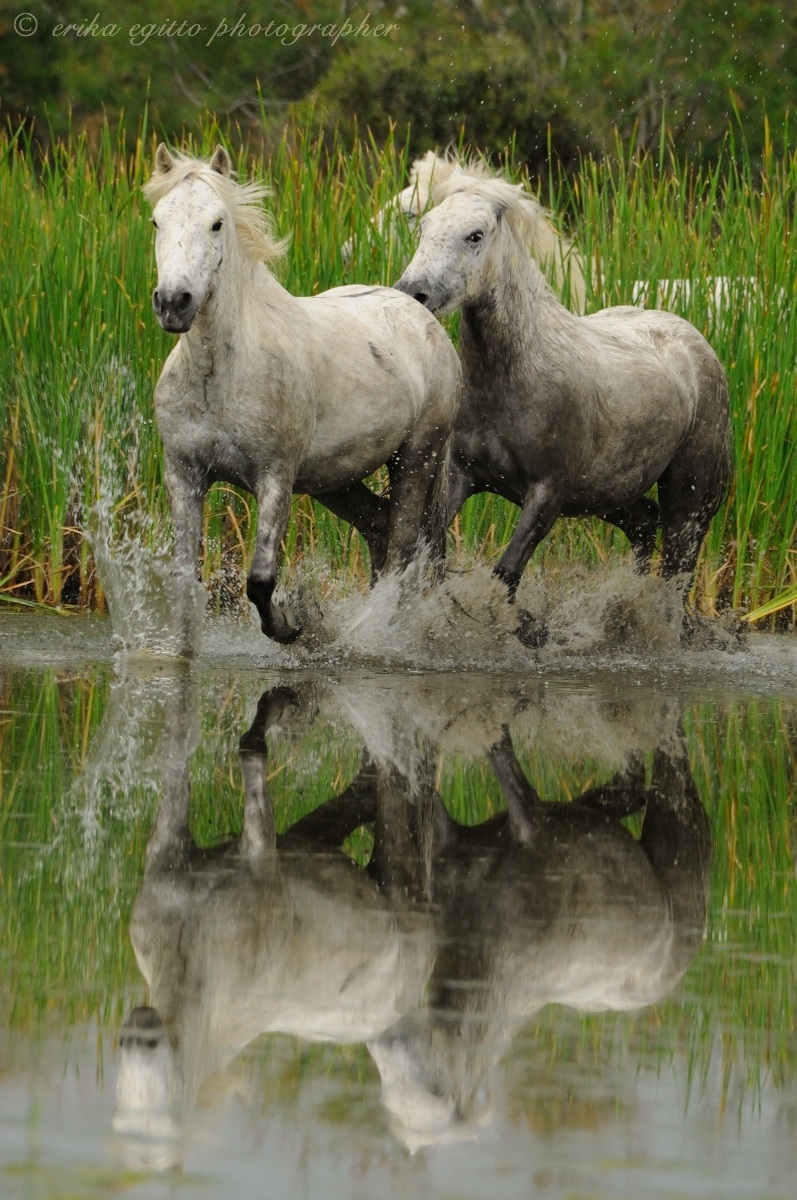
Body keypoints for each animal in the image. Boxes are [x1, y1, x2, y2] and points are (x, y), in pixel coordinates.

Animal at [144, 145, 462, 649]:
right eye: (157, 221)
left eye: (216, 223)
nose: (174, 303)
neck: (220, 377)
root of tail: (424, 318)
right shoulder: (185, 475)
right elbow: (184, 581)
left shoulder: (274, 478)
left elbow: (259, 581)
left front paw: (292, 627)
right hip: (335, 480)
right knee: (378, 528)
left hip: (416, 460)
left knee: (402, 551)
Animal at [394, 175, 733, 643]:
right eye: (424, 226)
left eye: (475, 235)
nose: (414, 292)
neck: (515, 374)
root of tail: (701, 347)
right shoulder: (463, 476)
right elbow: (430, 551)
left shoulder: (548, 493)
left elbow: (505, 574)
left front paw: (525, 631)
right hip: (606, 492)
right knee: (644, 523)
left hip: (689, 492)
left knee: (678, 571)